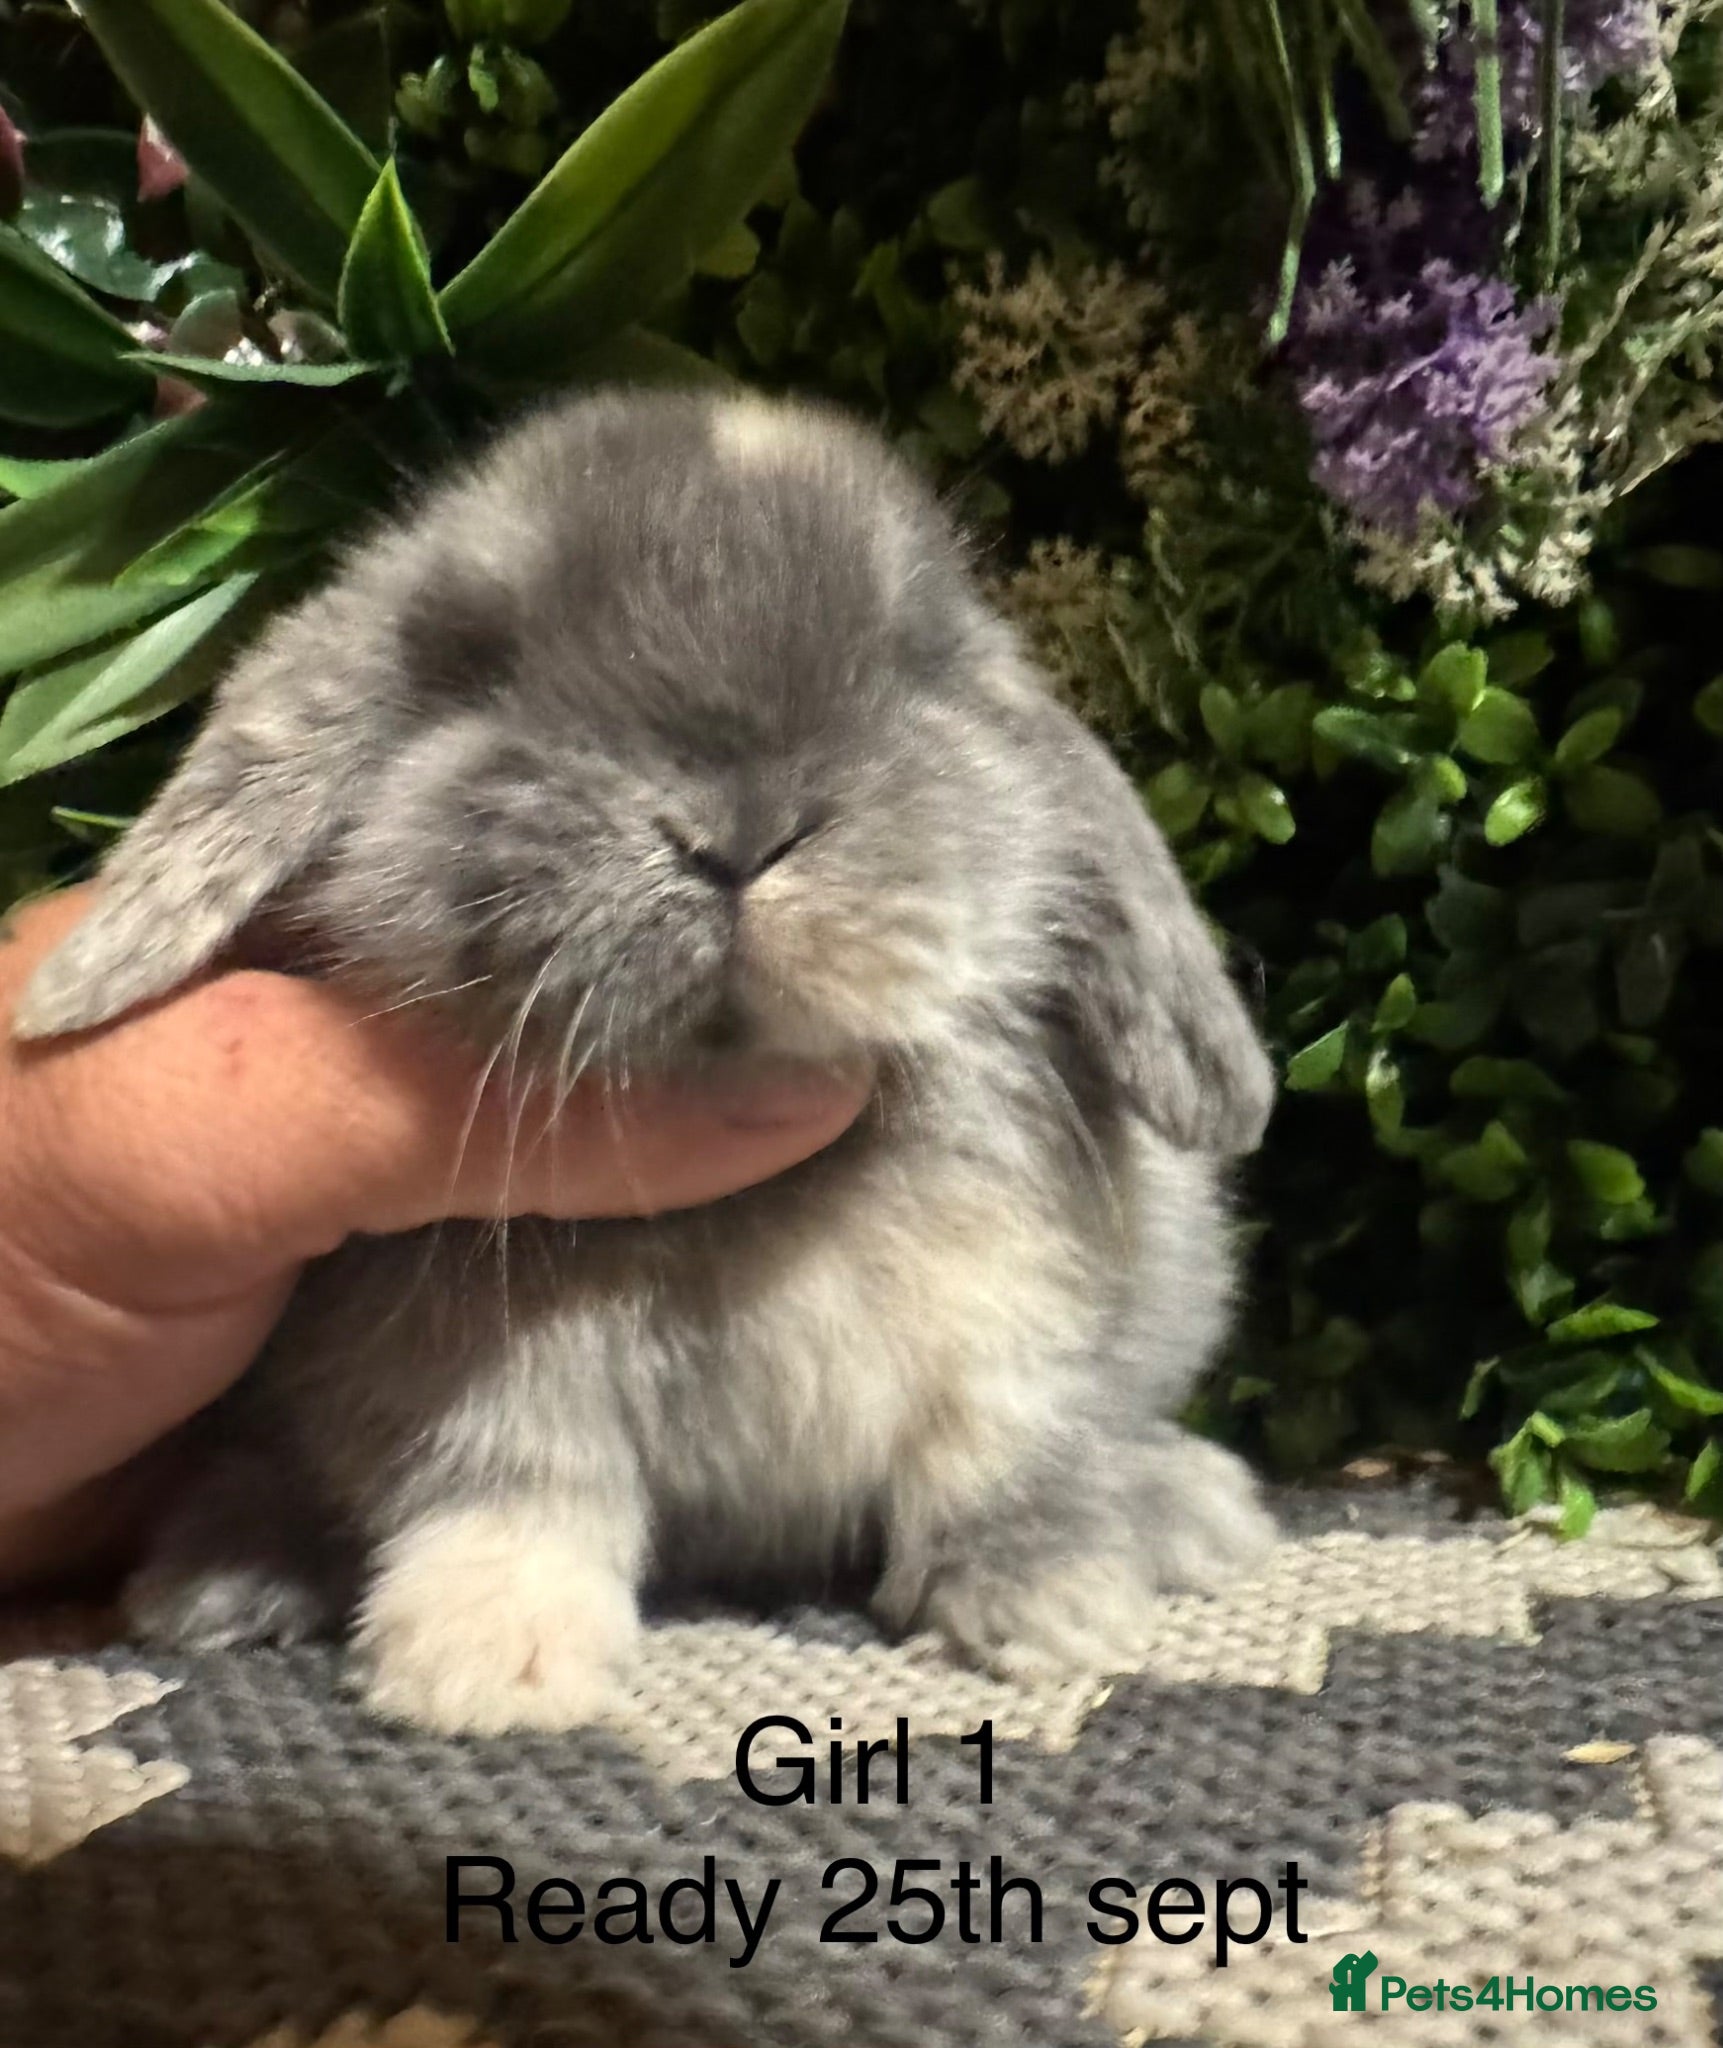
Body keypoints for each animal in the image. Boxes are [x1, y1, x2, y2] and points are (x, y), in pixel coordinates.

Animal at [13, 387, 1278, 1736]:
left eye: (917, 663)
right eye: (478, 662)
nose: (738, 836)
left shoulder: (1009, 1312)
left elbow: (1001, 1451)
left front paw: (1053, 1607)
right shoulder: (474, 1364)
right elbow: (513, 1478)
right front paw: (488, 1663)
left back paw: (1193, 1509)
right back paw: (227, 1576)